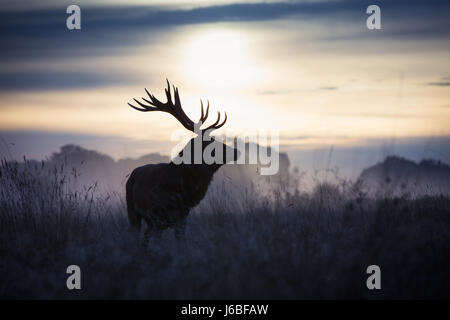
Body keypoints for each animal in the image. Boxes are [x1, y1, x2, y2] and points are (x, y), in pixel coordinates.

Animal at [125, 81, 241, 239]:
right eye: (210, 143)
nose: (236, 151)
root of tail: (131, 176)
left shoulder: (182, 216)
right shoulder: (158, 215)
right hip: (132, 211)